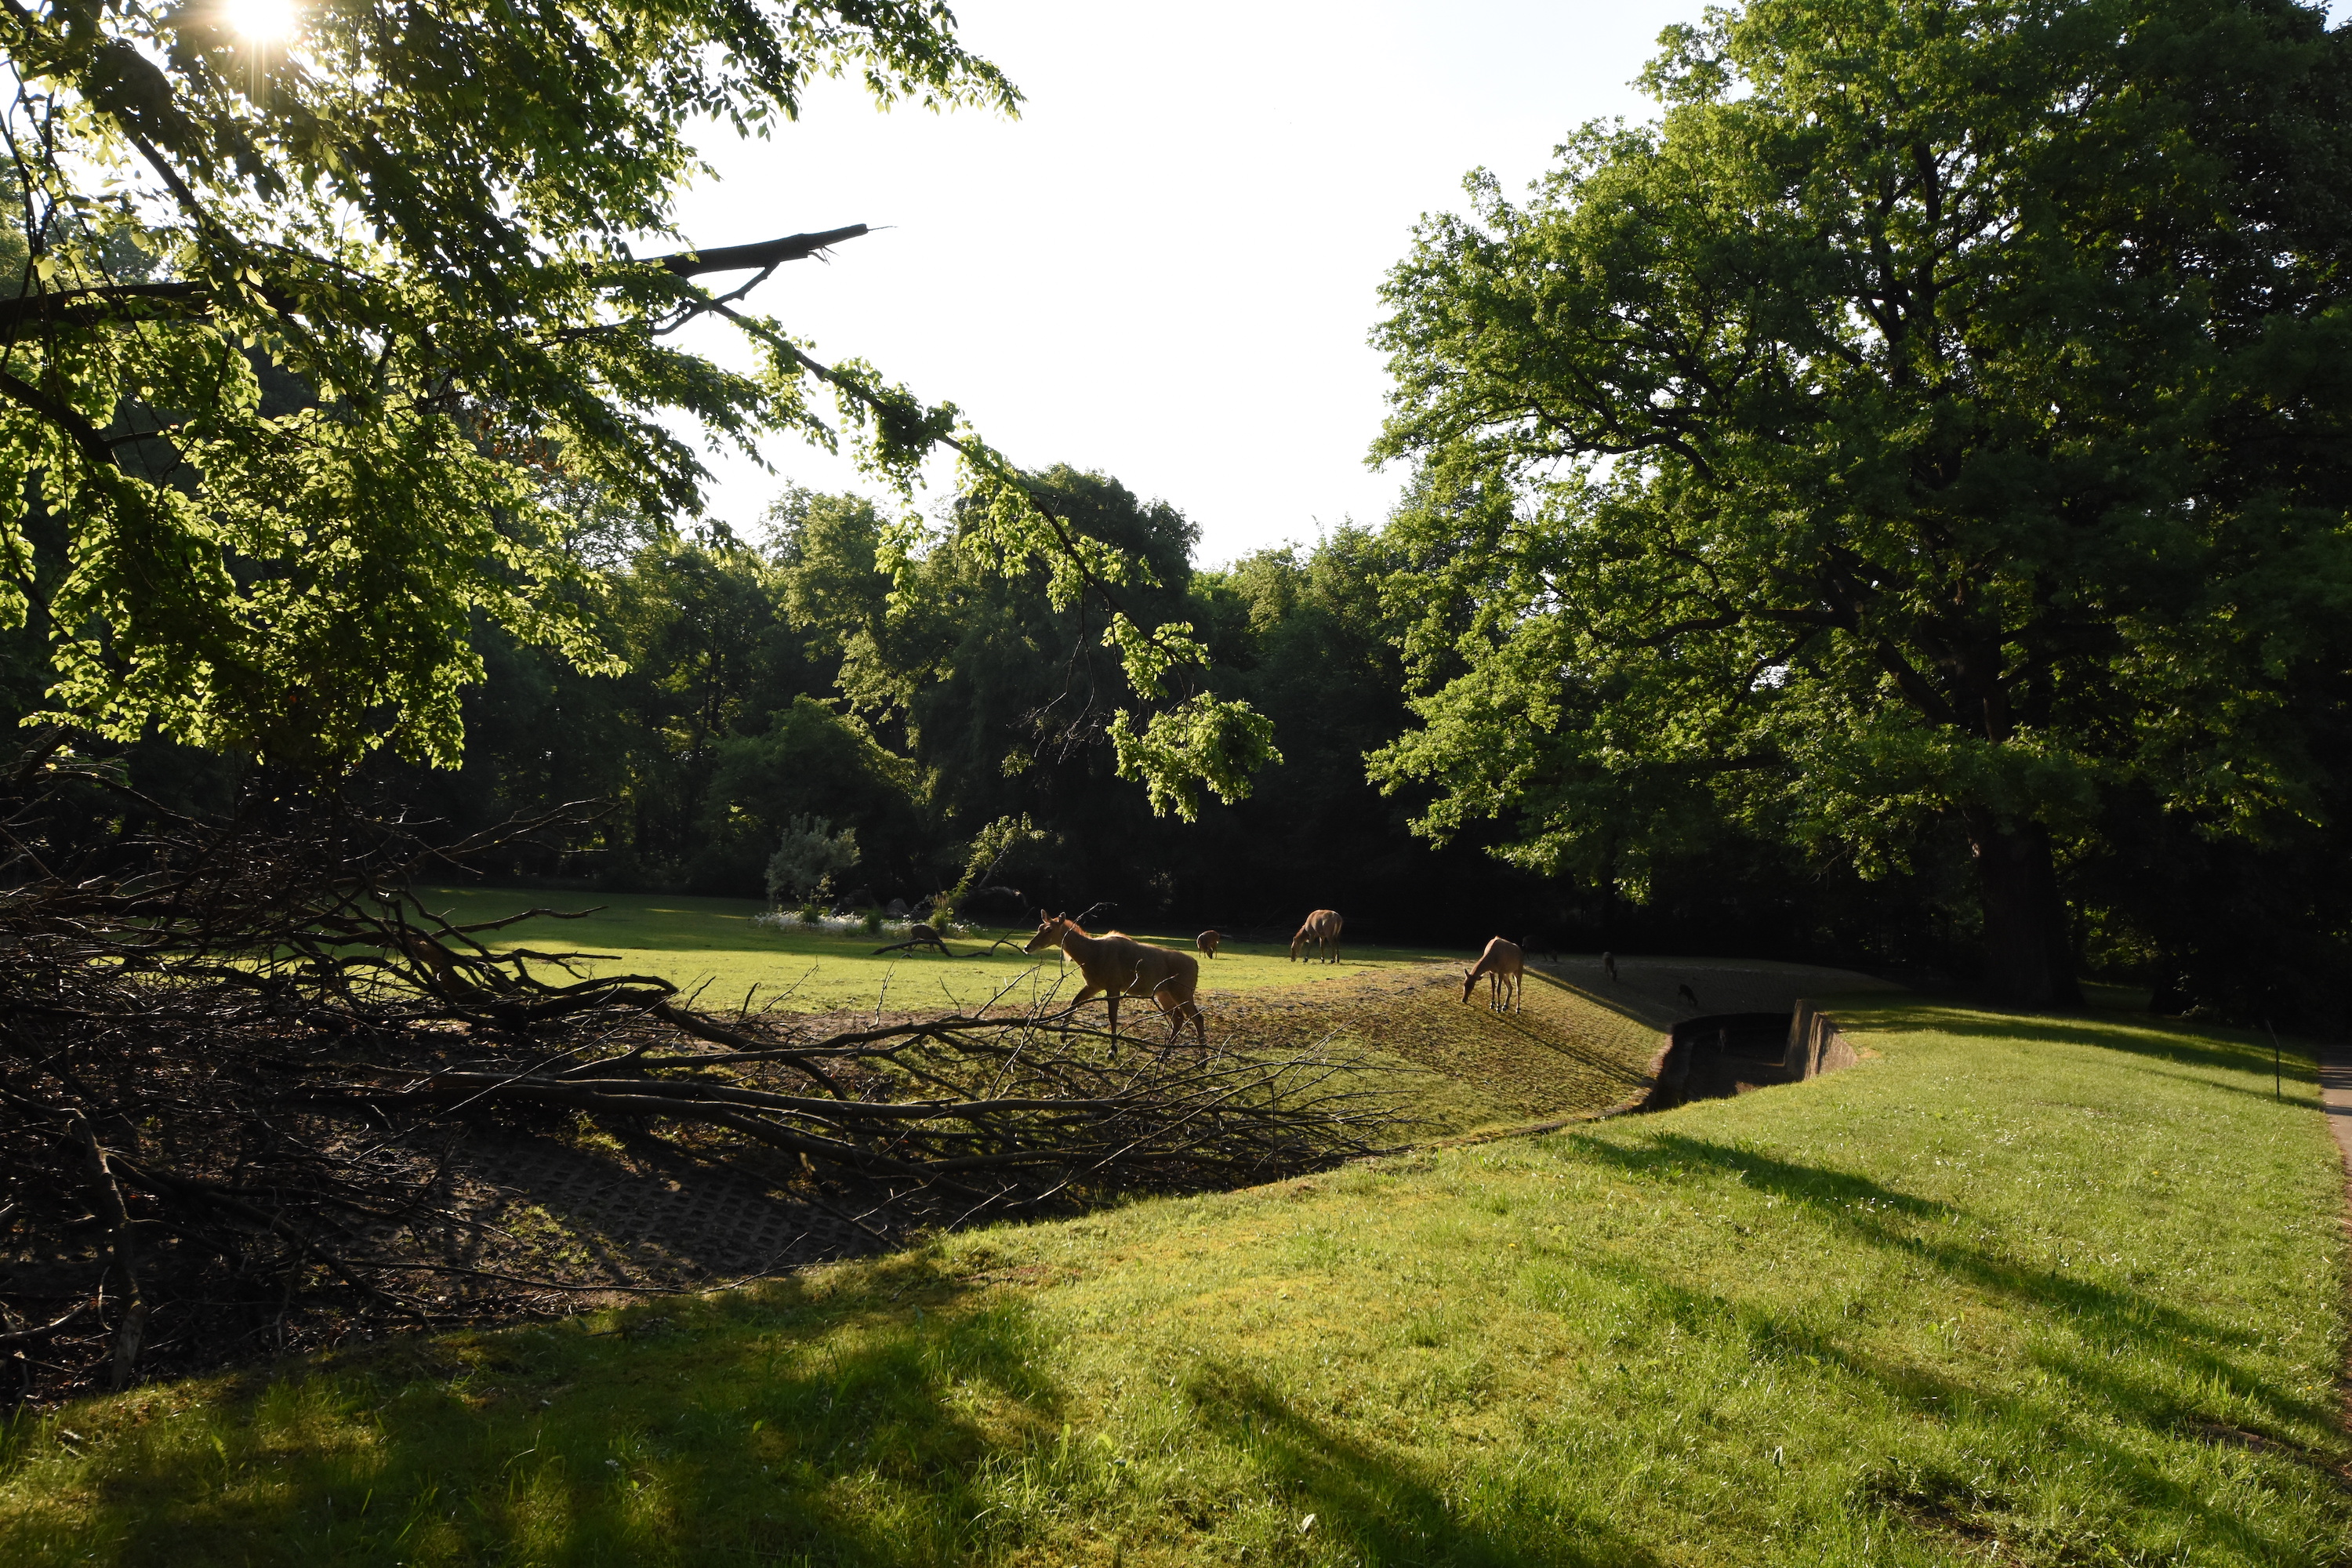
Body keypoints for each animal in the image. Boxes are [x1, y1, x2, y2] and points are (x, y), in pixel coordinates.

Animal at [1024, 911, 1205, 1046]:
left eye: (1049, 929)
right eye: (1040, 926)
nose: (1027, 947)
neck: (1091, 954)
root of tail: (1196, 964)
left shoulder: (1113, 986)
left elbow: (1113, 1016)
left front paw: (1113, 1049)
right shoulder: (1094, 985)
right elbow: (1074, 1002)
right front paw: (1063, 1034)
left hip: (1183, 993)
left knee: (1197, 1017)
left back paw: (1202, 1060)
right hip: (1164, 994)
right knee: (1179, 1018)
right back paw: (1166, 1053)